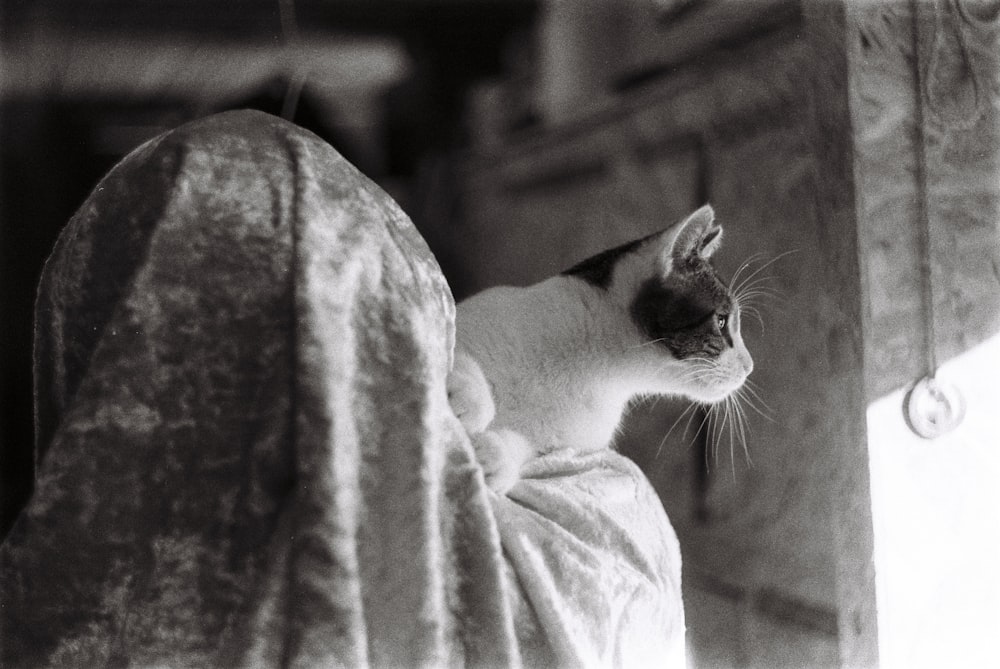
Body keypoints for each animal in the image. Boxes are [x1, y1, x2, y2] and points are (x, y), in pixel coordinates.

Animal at [450, 206, 752, 494]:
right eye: (722, 321)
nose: (749, 366)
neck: (592, 366)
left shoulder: (566, 448)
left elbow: (528, 450)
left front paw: (496, 457)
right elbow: (452, 345)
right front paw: (470, 400)